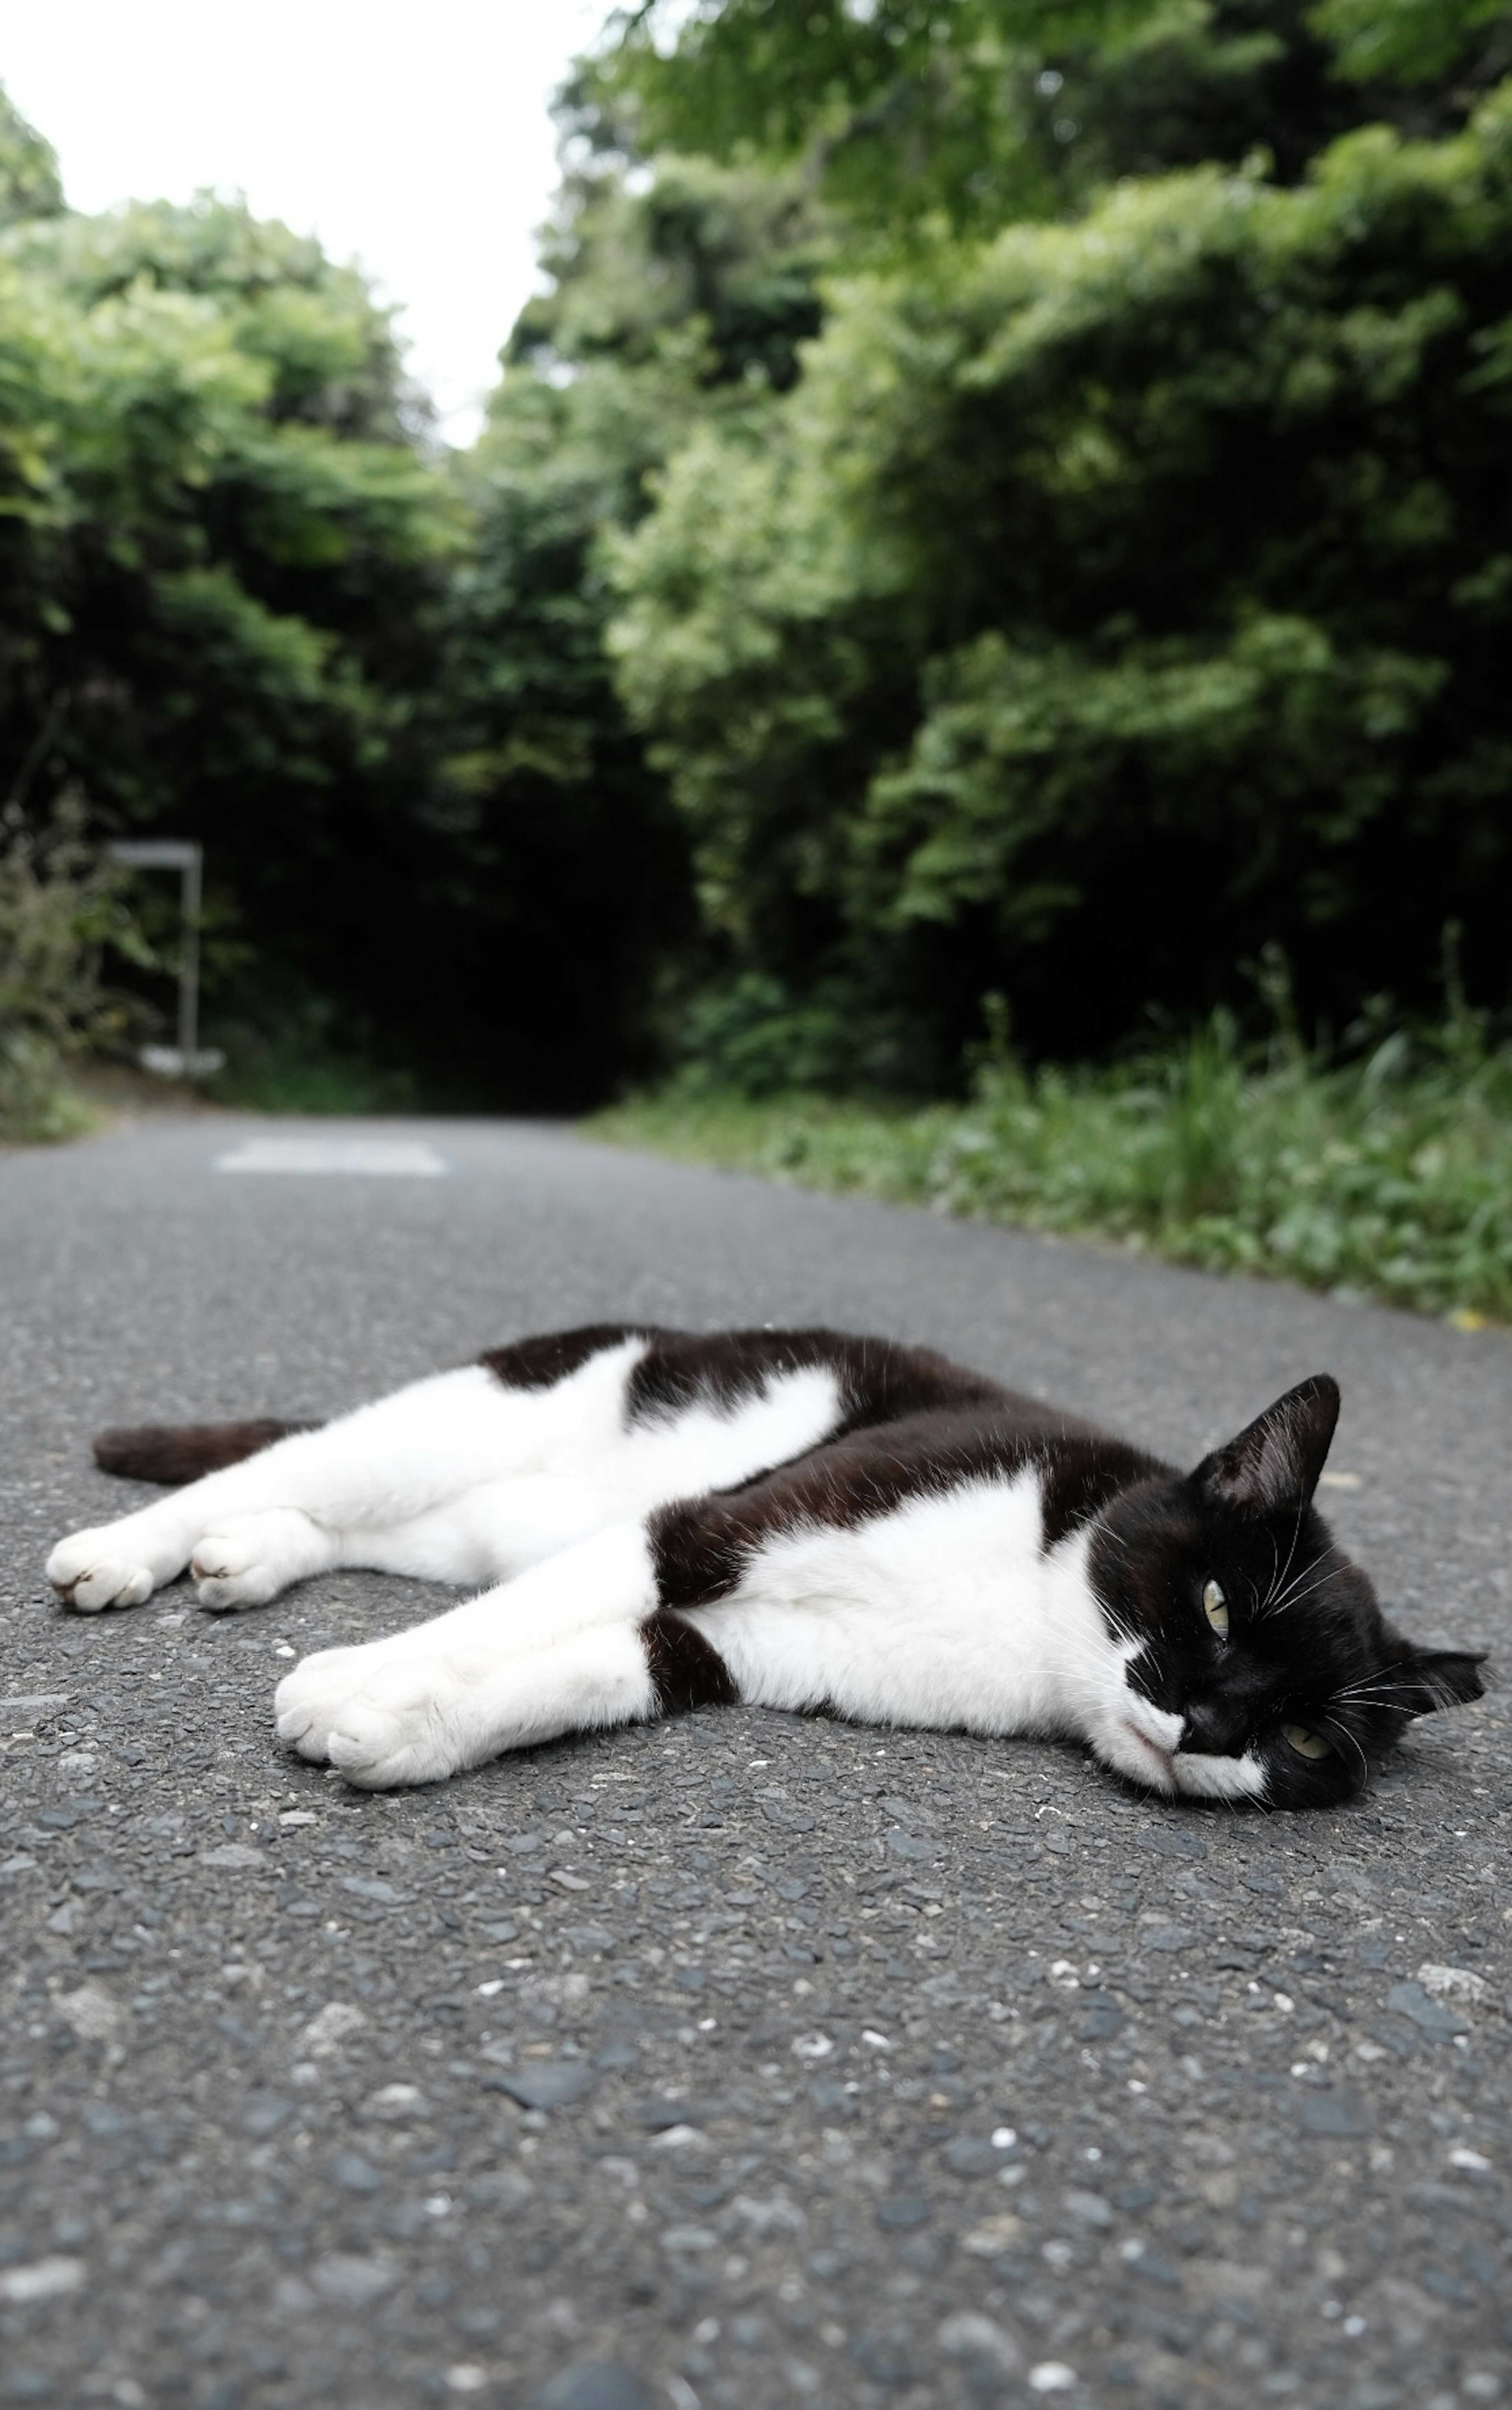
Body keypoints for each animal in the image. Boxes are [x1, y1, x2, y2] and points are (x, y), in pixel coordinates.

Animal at [44, 1321, 1476, 1812]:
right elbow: (528, 1617)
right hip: (480, 1414)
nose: (1208, 1726)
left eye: (1305, 1741)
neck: (1034, 1616)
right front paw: (353, 1683)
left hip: (475, 1518)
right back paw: (125, 1551)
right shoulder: (709, 1528)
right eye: (1220, 1604)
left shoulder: (736, 1647)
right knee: (294, 1461)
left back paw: (246, 1560)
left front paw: (401, 1723)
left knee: (360, 1525)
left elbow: (583, 1671)